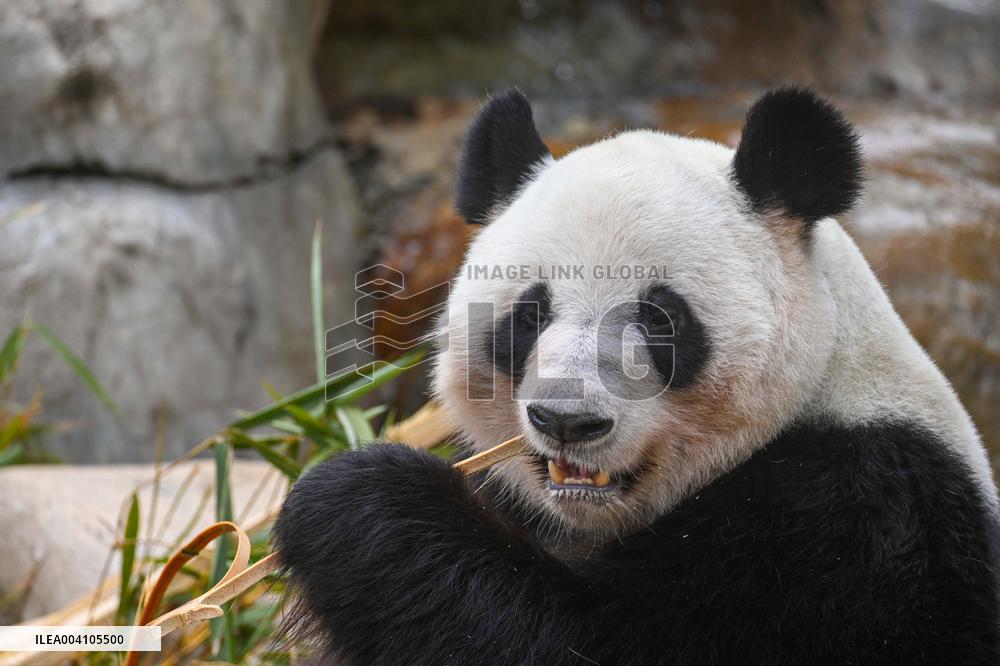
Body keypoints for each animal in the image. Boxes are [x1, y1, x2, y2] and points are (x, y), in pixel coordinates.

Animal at [274, 88, 1000, 664]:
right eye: (530, 314)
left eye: (660, 319)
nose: (567, 421)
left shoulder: (853, 532)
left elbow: (575, 641)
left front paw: (350, 490)